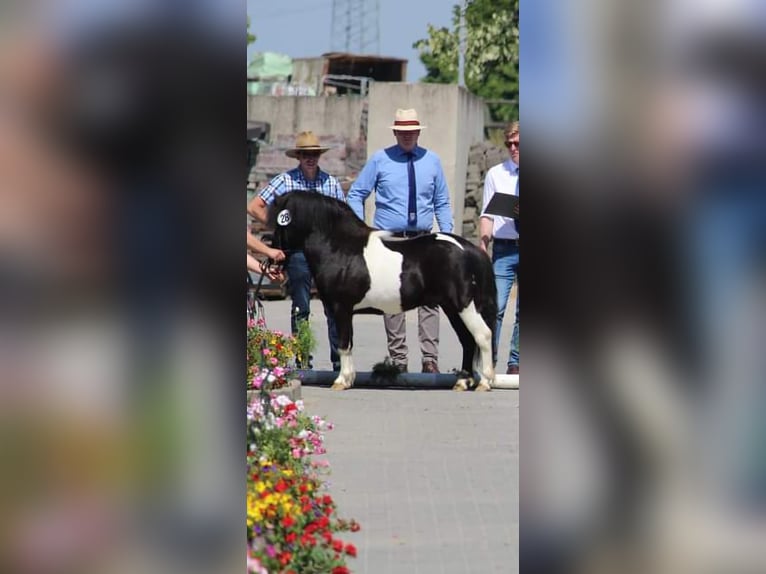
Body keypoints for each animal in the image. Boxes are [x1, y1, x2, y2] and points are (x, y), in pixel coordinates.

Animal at [268, 192, 498, 392]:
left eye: (279, 223)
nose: (273, 260)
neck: (339, 248)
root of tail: (470, 249)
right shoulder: (346, 311)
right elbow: (348, 343)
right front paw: (349, 379)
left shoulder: (341, 308)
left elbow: (343, 344)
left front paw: (341, 381)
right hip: (452, 308)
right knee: (468, 341)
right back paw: (462, 382)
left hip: (464, 306)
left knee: (483, 335)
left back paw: (485, 382)